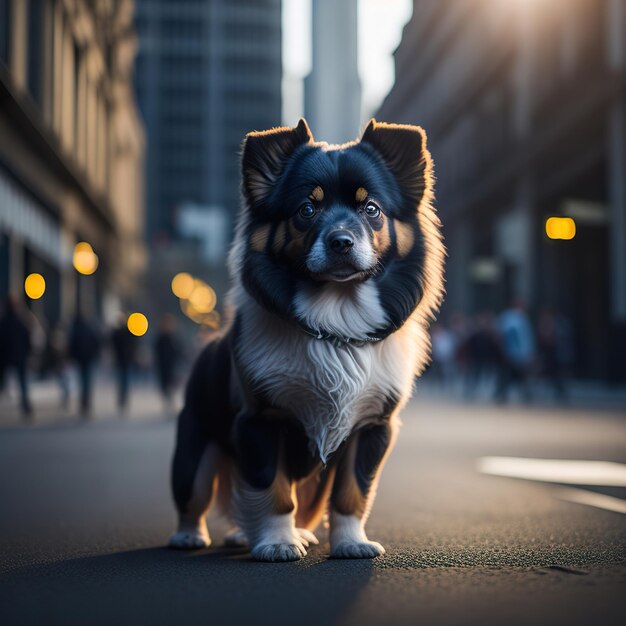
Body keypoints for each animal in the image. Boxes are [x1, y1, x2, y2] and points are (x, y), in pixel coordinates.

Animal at [167, 117, 444, 560]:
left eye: (371, 209)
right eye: (306, 210)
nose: (341, 241)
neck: (337, 321)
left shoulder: (373, 428)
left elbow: (352, 493)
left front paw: (351, 542)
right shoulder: (260, 422)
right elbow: (272, 489)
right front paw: (278, 542)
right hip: (196, 447)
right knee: (194, 495)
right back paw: (191, 535)